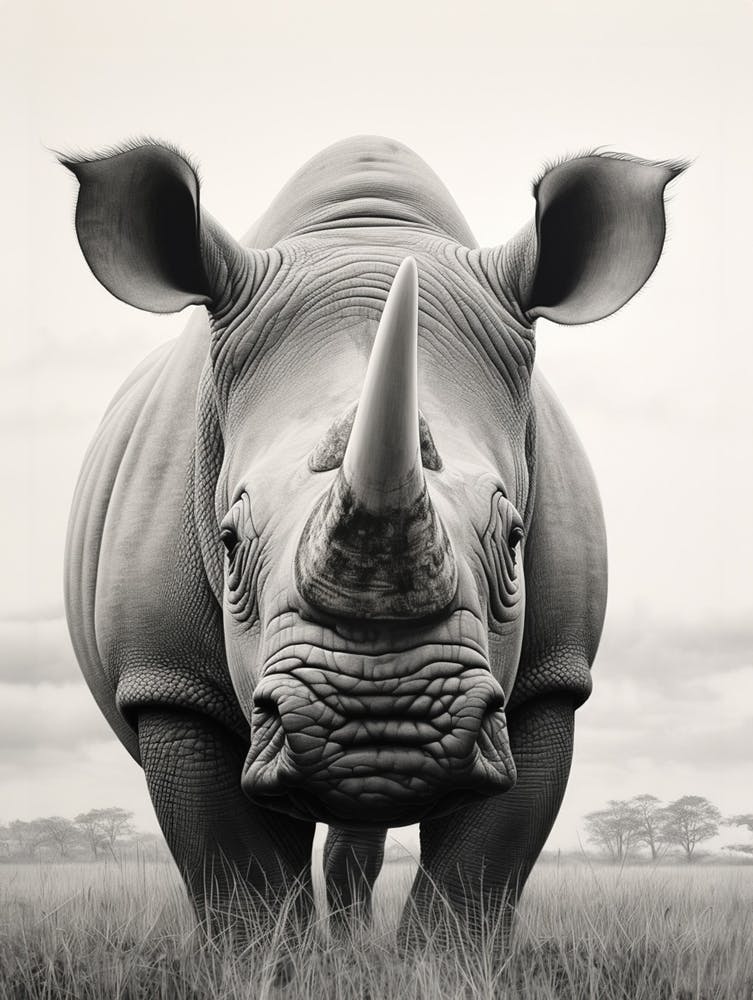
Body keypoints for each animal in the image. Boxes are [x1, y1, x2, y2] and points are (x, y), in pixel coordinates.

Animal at [61, 136, 682, 949]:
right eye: (227, 542)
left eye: (515, 538)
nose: (378, 732)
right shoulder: (167, 683)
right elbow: (238, 874)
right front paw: (270, 964)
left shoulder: (552, 675)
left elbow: (483, 868)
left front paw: (439, 964)